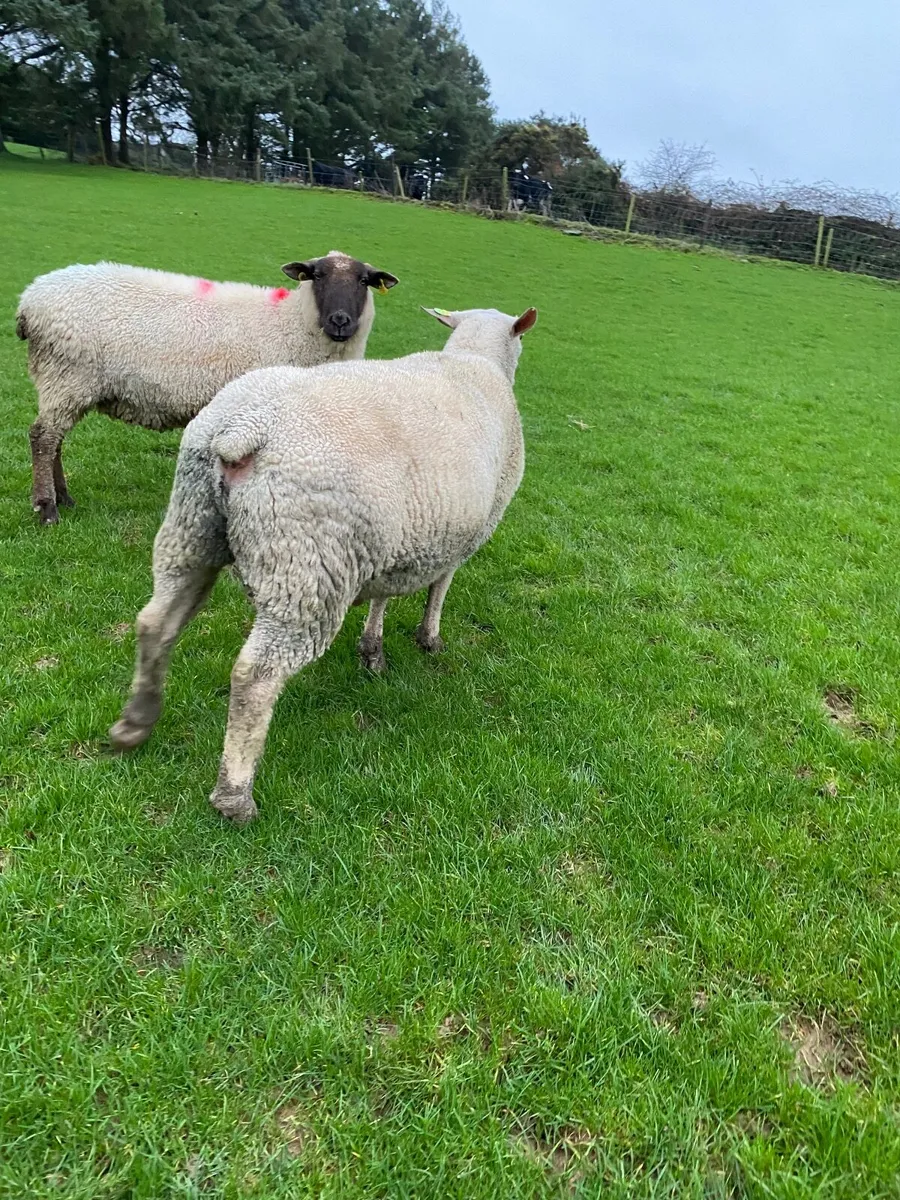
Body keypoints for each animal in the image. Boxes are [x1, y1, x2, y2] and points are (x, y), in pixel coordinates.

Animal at [15, 250, 399, 525]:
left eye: (364, 281)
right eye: (317, 275)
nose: (340, 321)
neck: (291, 324)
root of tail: (29, 301)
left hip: (63, 382)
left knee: (55, 439)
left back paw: (64, 498)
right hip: (66, 374)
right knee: (43, 437)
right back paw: (47, 508)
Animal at [109, 303, 538, 824]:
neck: (476, 359)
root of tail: (241, 429)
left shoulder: (397, 542)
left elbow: (382, 597)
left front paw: (372, 650)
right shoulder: (472, 527)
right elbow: (440, 586)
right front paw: (429, 638)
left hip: (192, 530)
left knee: (155, 622)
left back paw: (136, 723)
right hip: (307, 568)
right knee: (256, 675)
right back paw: (235, 796)